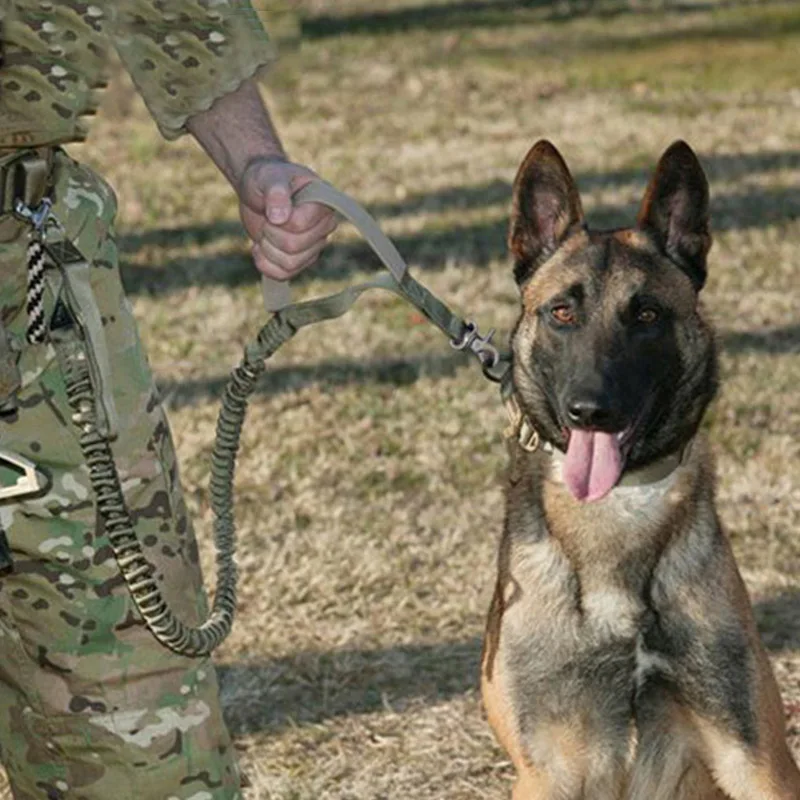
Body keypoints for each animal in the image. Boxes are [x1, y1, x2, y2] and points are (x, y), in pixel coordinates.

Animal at [482, 142, 800, 800]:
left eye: (647, 314)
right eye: (561, 312)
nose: (590, 409)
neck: (617, 513)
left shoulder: (758, 759)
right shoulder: (545, 771)